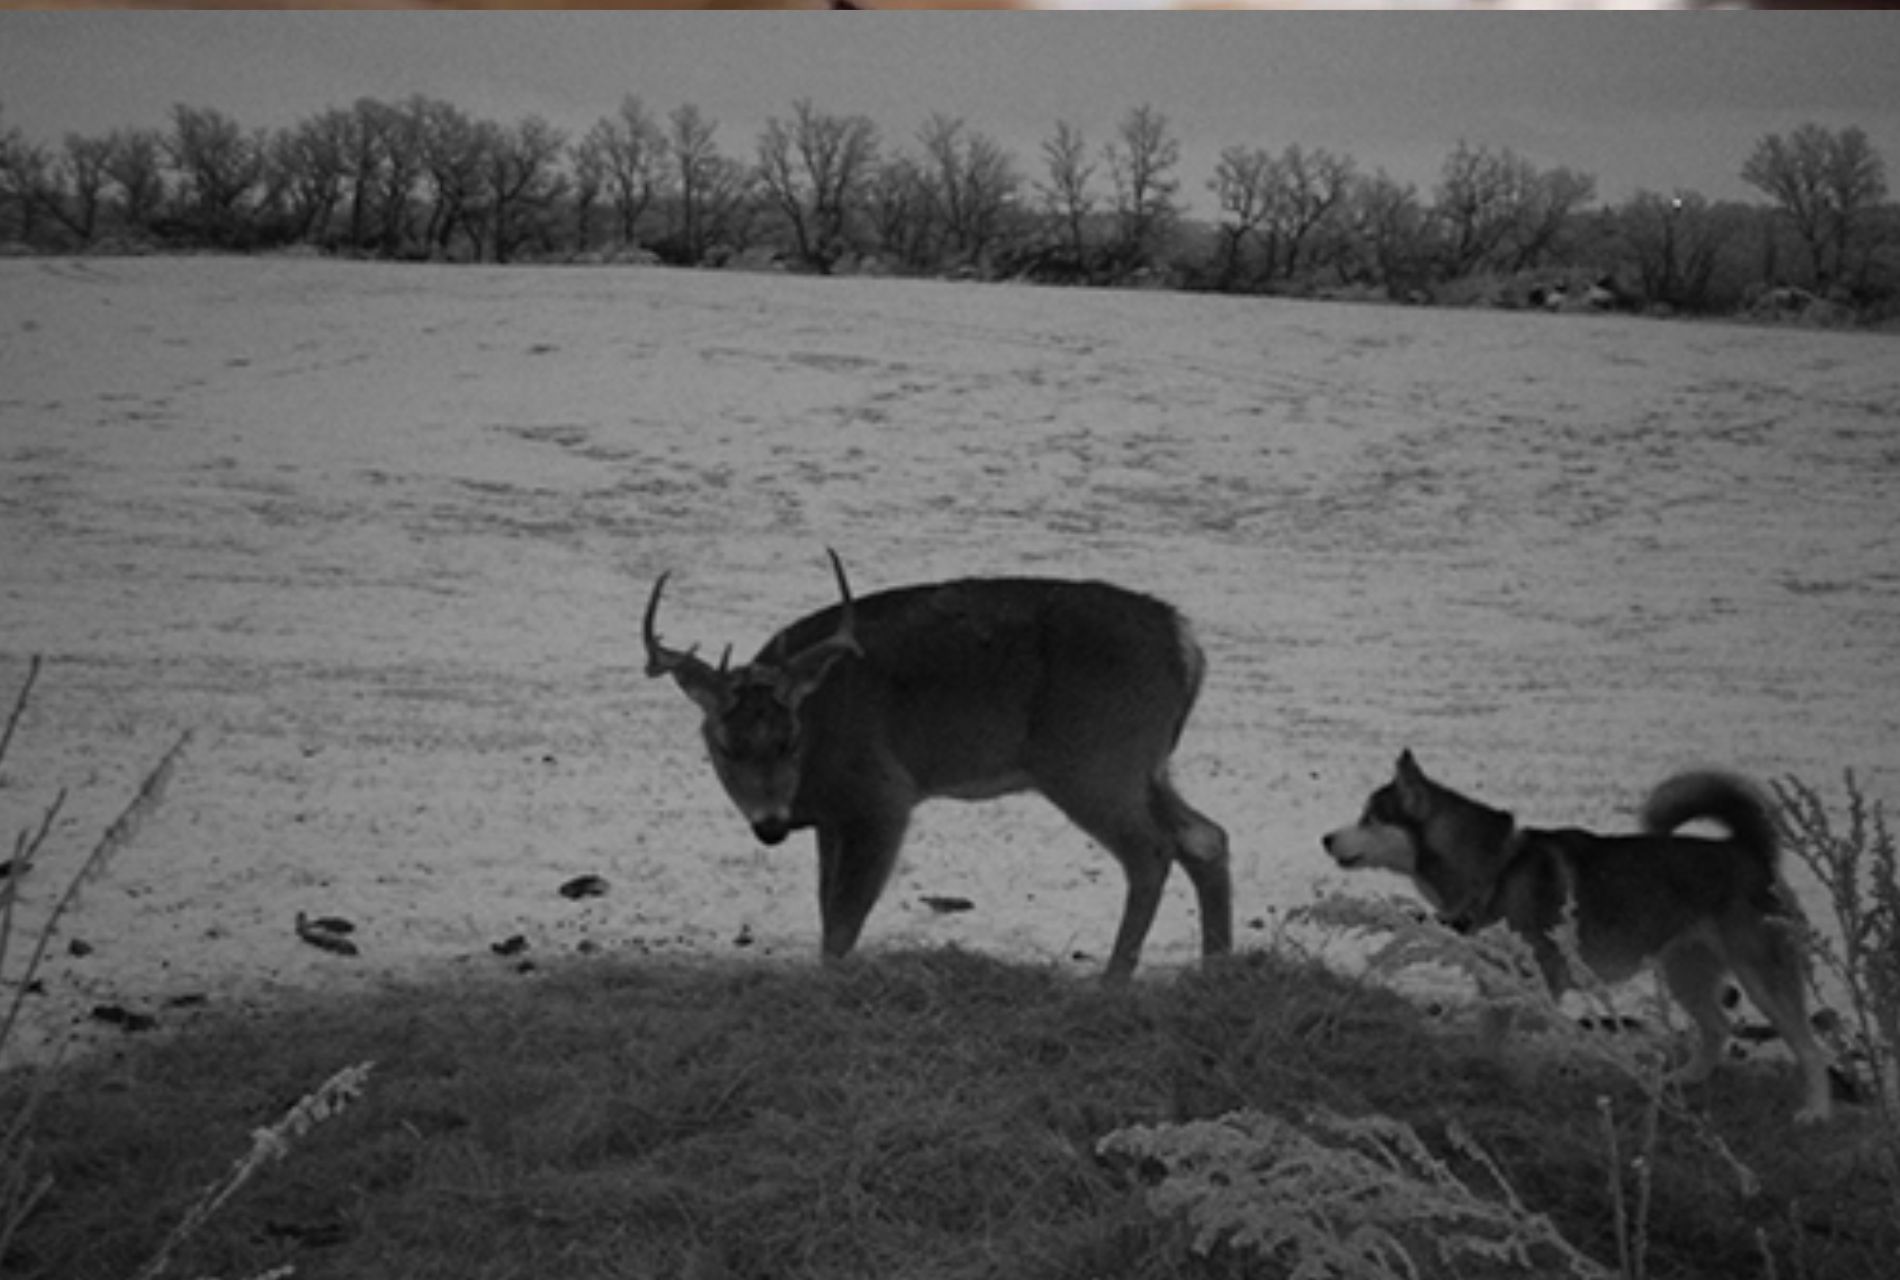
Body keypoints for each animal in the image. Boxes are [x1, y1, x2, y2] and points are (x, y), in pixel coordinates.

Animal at [638, 546, 1231, 979]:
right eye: (724, 745)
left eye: (790, 739)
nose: (770, 827)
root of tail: (1186, 643)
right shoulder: (833, 818)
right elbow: (827, 907)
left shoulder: (882, 796)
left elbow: (842, 923)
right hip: (1146, 767)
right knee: (1206, 836)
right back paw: (1214, 970)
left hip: (1094, 760)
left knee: (1152, 852)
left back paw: (1113, 981)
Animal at [1322, 752, 1824, 1124]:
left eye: (1370, 818)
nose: (1325, 838)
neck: (1497, 869)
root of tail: (1750, 851)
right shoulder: (1495, 979)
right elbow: (1488, 1036)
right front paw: (1484, 1074)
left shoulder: (1542, 981)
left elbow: (1522, 1030)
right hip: (1686, 970)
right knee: (1718, 1027)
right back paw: (1684, 1081)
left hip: (1762, 977)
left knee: (1809, 1046)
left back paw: (1815, 1112)